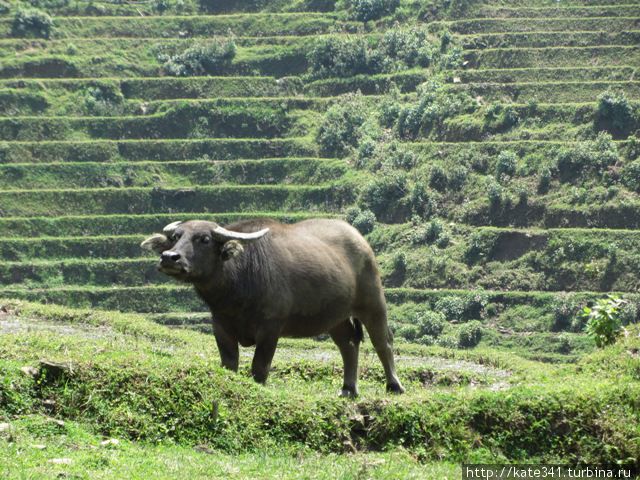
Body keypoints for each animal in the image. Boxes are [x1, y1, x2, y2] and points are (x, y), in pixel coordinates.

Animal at [142, 219, 402, 396]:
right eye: (175, 237)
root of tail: (360, 240)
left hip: (373, 301)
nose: (169, 257)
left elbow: (260, 367)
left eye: (204, 239)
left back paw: (394, 385)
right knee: (348, 344)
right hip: (335, 317)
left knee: (383, 341)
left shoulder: (271, 328)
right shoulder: (220, 325)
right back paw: (348, 388)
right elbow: (229, 363)